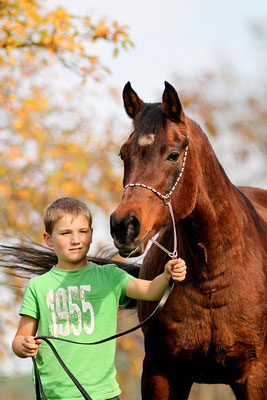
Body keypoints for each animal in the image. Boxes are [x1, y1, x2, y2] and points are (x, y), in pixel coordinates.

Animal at [110, 82, 267, 400]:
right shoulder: (161, 374)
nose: (123, 226)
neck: (212, 274)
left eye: (172, 155)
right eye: (123, 154)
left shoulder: (256, 376)